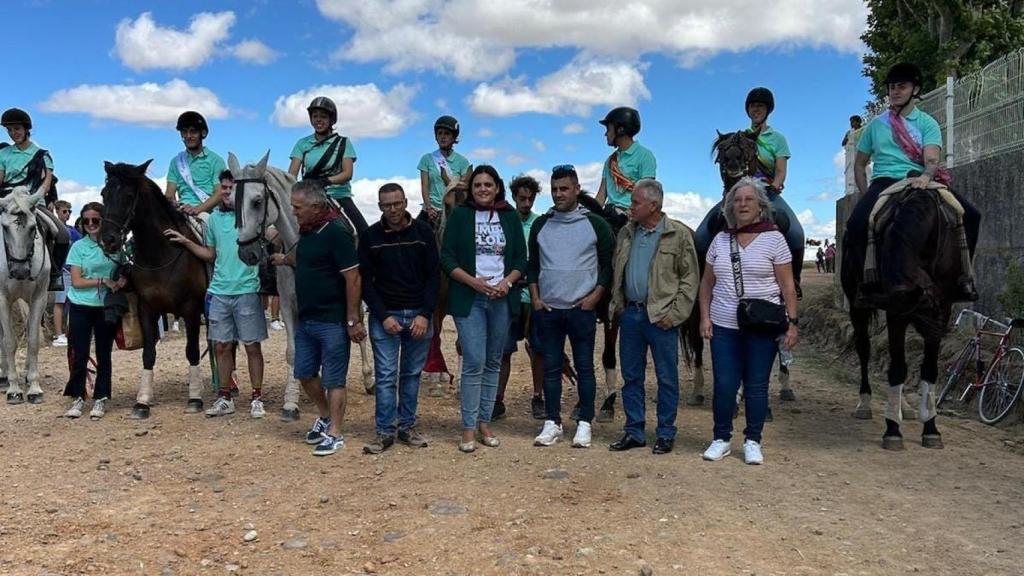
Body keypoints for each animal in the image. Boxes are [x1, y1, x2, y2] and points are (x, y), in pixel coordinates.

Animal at [97, 159, 207, 416]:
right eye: (104, 194)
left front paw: (195, 398)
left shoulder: (191, 309)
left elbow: (192, 351)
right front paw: (142, 401)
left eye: (128, 196)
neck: (160, 256)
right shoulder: (147, 309)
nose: (108, 239)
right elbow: (148, 355)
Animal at [230, 152, 374, 422]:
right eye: (231, 202)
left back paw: (369, 378)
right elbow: (293, 352)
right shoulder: (288, 304)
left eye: (257, 201)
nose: (246, 253)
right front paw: (291, 401)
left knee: (360, 328)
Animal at [839, 182, 966, 448]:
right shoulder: (896, 312)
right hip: (857, 308)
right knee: (864, 349)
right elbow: (897, 368)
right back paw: (865, 403)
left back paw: (905, 407)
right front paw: (892, 430)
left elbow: (930, 369)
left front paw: (931, 427)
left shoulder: (943, 307)